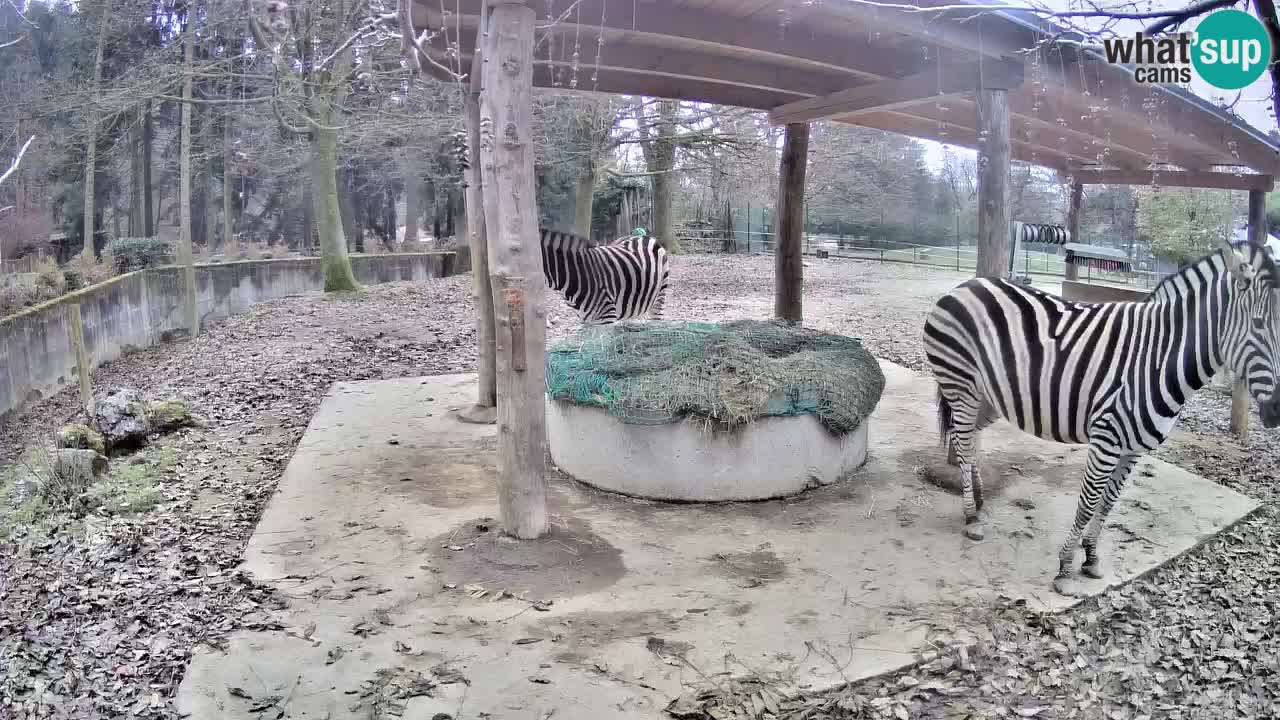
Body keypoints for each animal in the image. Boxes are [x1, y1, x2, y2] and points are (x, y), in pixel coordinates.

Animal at [926, 238, 1274, 597]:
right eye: (1260, 324)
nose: (1276, 412)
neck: (1158, 360)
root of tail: (967, 285)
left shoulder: (1133, 449)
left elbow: (1108, 503)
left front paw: (1091, 557)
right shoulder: (1106, 439)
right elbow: (1088, 502)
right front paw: (1065, 568)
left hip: (989, 398)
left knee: (969, 439)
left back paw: (979, 501)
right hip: (961, 384)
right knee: (963, 444)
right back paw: (971, 517)